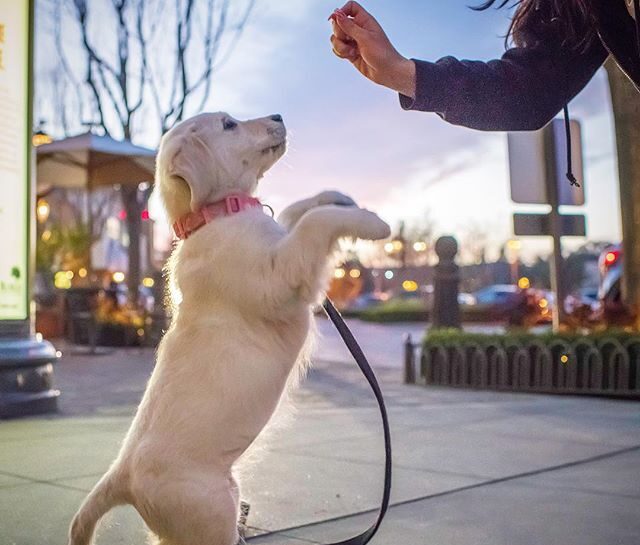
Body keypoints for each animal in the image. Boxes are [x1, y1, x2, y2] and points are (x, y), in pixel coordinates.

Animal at [69, 111, 390, 544]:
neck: (215, 216)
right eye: (229, 125)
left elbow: (297, 211)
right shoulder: (278, 277)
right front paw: (370, 221)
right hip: (213, 510)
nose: (279, 115)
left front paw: (338, 196)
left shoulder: (280, 242)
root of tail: (123, 475)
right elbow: (313, 224)